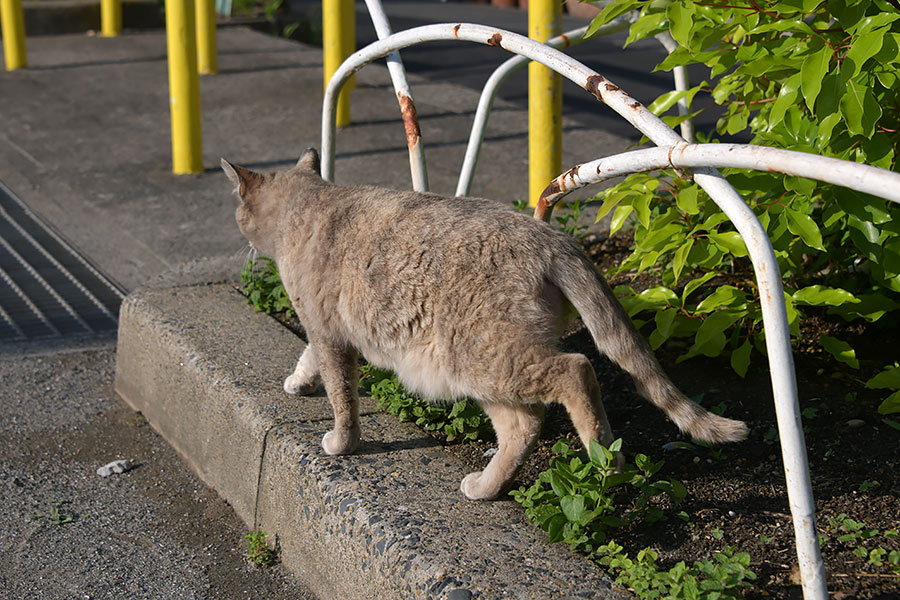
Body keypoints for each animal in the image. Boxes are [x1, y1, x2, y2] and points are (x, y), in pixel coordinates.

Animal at [221, 150, 748, 502]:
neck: (310, 205)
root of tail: (554, 239)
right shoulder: (323, 331)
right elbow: (309, 358)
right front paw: (298, 380)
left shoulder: (329, 334)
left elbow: (341, 398)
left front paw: (340, 441)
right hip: (485, 370)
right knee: (525, 424)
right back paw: (490, 485)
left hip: (480, 360)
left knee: (577, 372)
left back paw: (606, 458)